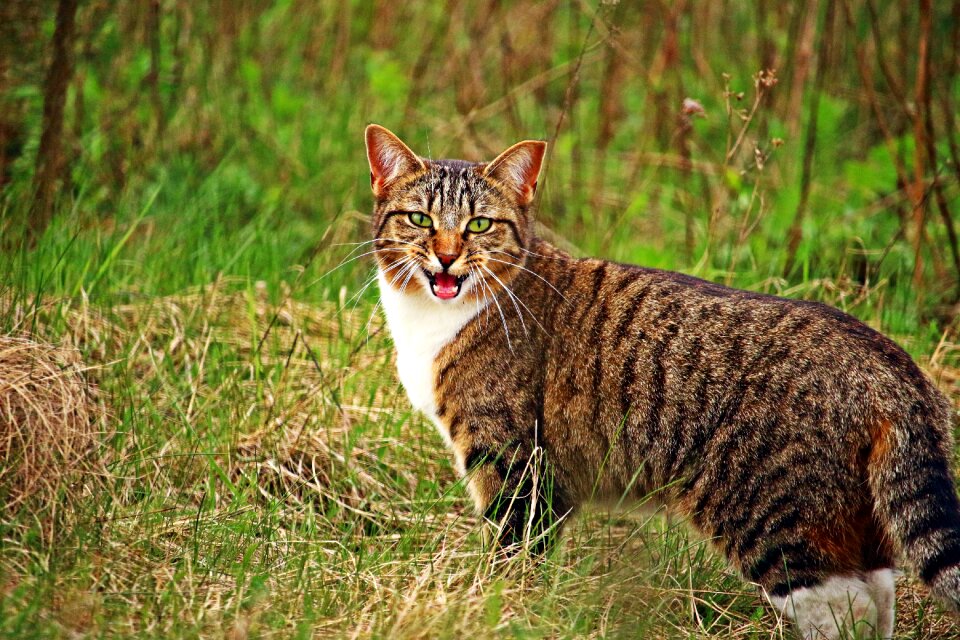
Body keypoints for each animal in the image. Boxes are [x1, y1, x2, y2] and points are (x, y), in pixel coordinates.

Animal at [362, 122, 960, 636]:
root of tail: (891, 363)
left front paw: (498, 612)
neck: (436, 317)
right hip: (852, 519)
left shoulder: (514, 466)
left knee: (842, 606)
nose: (445, 256)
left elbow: (514, 557)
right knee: (878, 595)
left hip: (776, 517)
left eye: (479, 225)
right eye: (419, 220)